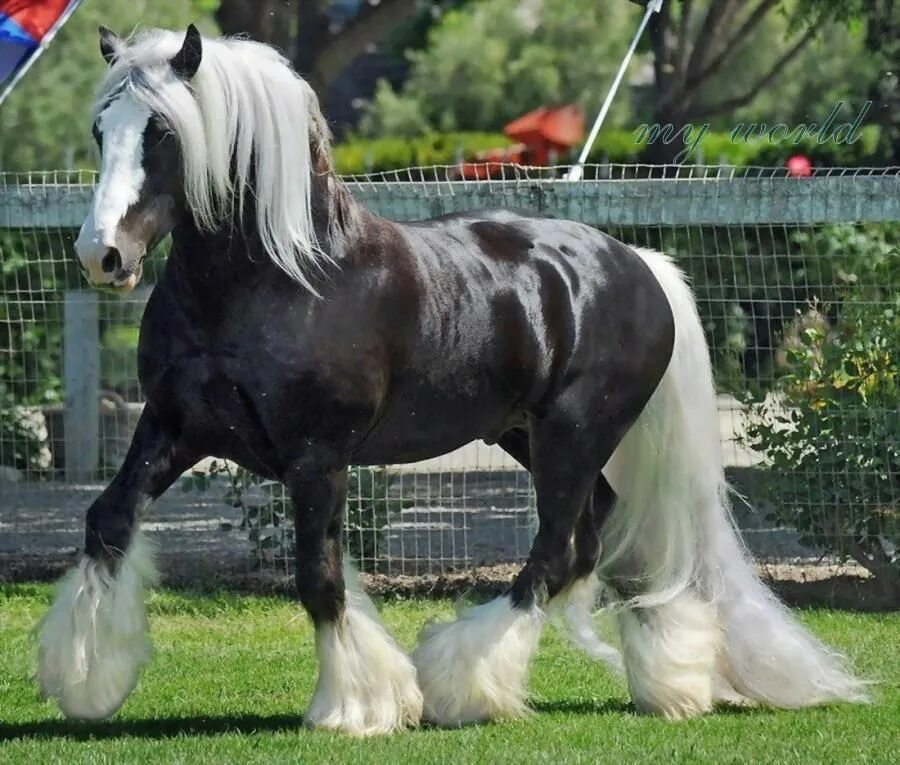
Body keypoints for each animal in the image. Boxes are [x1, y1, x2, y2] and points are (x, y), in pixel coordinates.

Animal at [37, 26, 872, 736]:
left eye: (163, 133)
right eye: (101, 130)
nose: (101, 254)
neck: (282, 279)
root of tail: (638, 264)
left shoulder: (318, 457)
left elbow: (320, 577)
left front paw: (357, 706)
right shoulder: (172, 426)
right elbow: (107, 520)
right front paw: (87, 678)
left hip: (574, 435)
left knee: (555, 551)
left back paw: (461, 682)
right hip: (527, 435)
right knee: (596, 535)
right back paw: (668, 678)